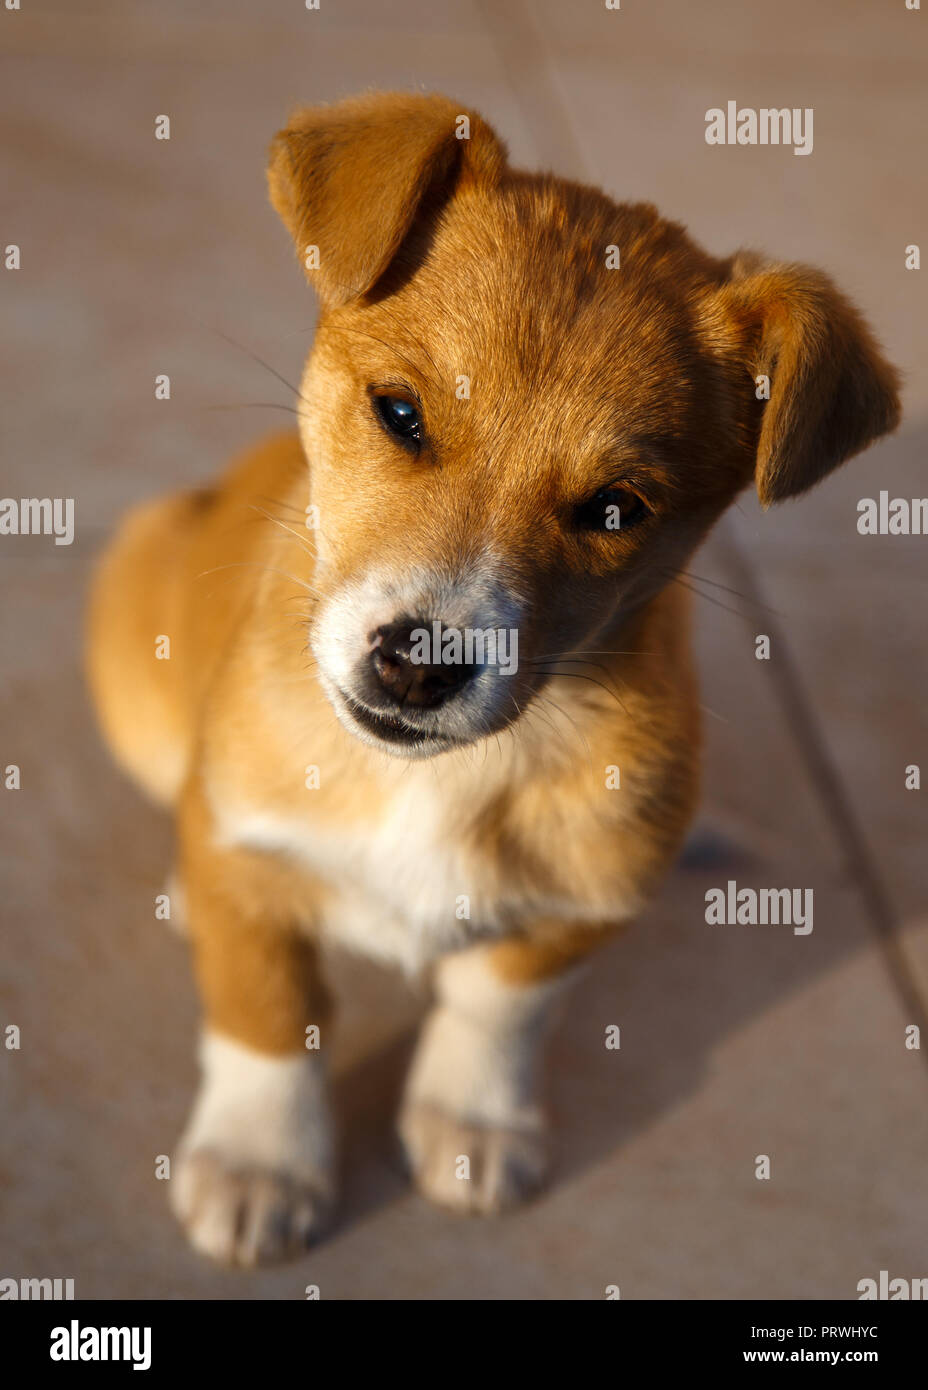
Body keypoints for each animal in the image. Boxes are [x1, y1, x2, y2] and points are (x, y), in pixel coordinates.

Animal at [85, 84, 900, 1262]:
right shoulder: (246, 839)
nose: (417, 666)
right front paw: (260, 1160)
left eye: (616, 508)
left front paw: (471, 1119)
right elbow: (266, 1010)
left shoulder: (579, 900)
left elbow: (499, 1003)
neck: (434, 780)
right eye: (400, 413)